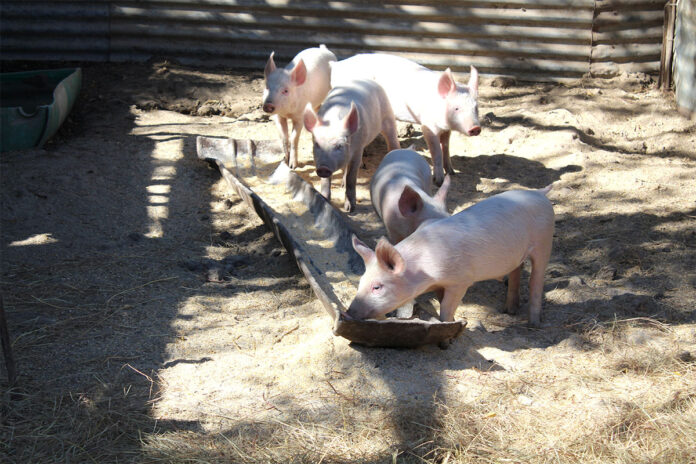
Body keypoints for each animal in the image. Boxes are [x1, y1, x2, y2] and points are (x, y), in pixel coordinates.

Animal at [303, 79, 400, 213]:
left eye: (340, 145)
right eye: (317, 144)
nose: (323, 168)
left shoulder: (358, 149)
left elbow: (351, 177)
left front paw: (350, 209)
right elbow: (326, 180)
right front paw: (325, 200)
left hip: (388, 114)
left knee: (392, 139)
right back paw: (341, 184)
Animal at [330, 53, 480, 187]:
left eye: (476, 107)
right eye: (456, 108)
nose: (476, 128)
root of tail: (338, 64)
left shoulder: (446, 130)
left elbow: (446, 148)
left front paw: (452, 172)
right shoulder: (428, 126)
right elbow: (436, 151)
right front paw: (438, 182)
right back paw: (361, 165)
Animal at [348, 185, 554, 327]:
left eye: (377, 287)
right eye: (361, 282)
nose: (349, 312)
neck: (425, 272)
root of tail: (539, 193)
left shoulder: (461, 281)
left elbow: (446, 307)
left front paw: (447, 324)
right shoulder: (440, 283)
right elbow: (441, 301)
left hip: (544, 242)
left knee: (536, 281)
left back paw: (533, 323)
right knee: (516, 270)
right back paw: (509, 310)